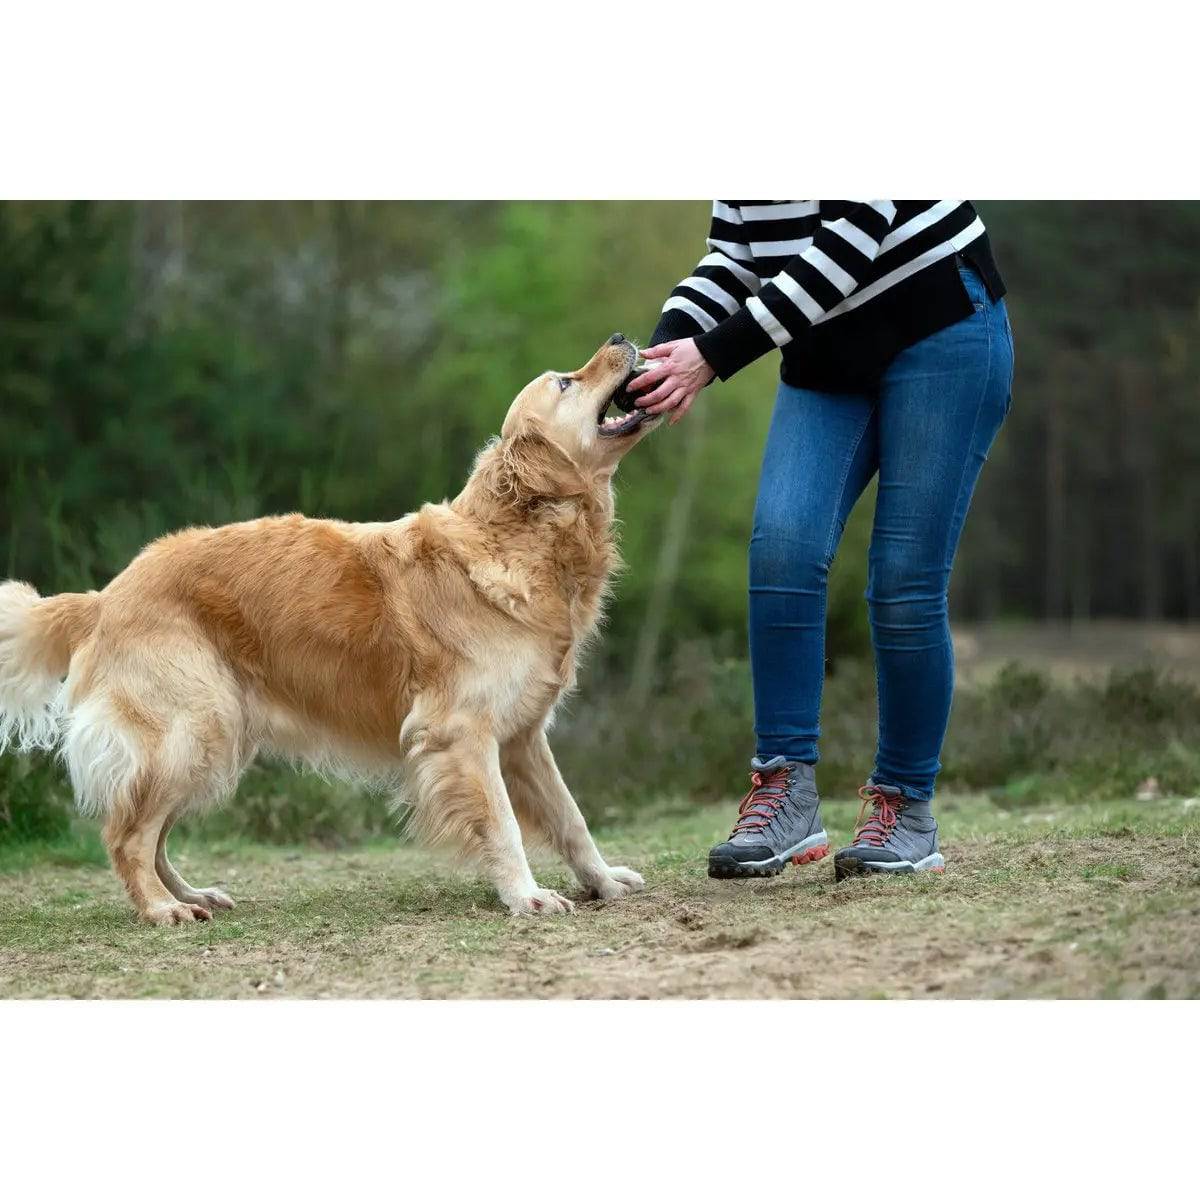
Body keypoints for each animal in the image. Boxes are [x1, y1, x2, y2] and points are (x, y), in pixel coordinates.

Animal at [0, 333, 657, 921]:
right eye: (565, 382)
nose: (623, 337)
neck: (518, 539)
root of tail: (105, 596)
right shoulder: (461, 732)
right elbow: (503, 826)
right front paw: (526, 897)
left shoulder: (521, 738)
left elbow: (571, 818)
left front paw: (603, 880)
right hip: (192, 729)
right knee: (127, 835)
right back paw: (162, 909)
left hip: (211, 738)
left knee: (152, 835)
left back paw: (191, 896)